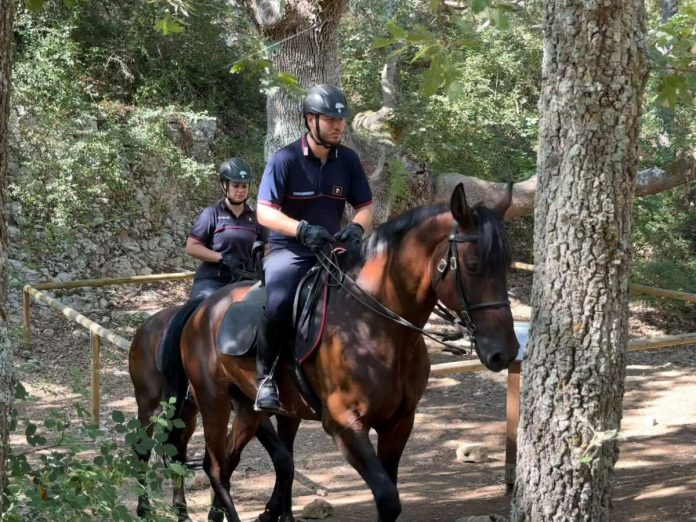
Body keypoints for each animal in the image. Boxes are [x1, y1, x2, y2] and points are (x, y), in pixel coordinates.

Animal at [175, 183, 519, 522]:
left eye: (505, 267)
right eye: (473, 266)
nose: (505, 352)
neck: (379, 327)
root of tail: (203, 308)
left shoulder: (399, 424)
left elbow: (390, 496)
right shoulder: (345, 425)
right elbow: (388, 498)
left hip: (249, 410)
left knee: (231, 461)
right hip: (214, 401)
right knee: (216, 468)